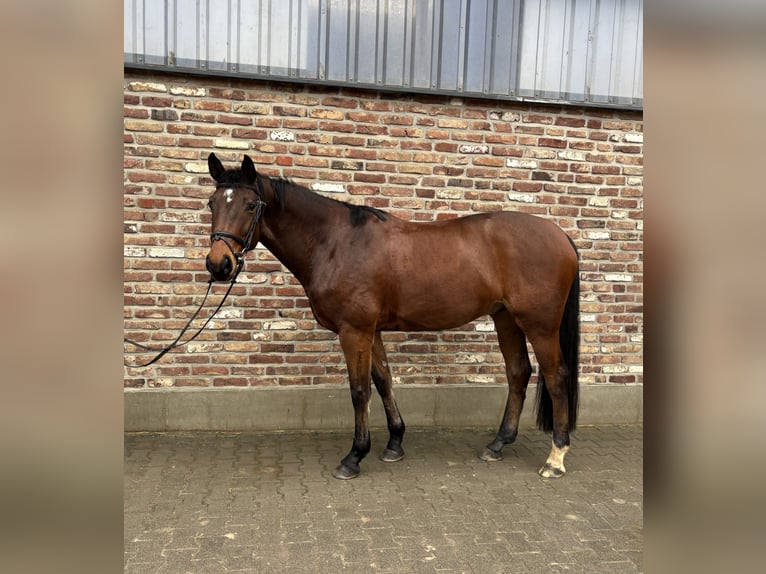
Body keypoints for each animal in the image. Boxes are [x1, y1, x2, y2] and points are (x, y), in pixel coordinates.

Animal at [204, 153, 580, 480]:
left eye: (250, 205)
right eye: (212, 203)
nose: (218, 264)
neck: (335, 242)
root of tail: (560, 235)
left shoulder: (354, 331)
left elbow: (359, 390)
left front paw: (354, 456)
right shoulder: (372, 331)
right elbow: (383, 380)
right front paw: (395, 443)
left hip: (539, 325)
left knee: (556, 376)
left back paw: (556, 458)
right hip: (506, 318)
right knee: (518, 372)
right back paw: (498, 443)